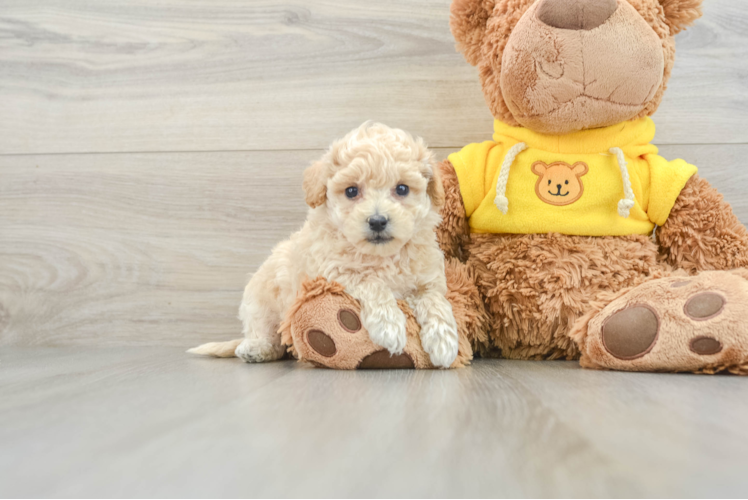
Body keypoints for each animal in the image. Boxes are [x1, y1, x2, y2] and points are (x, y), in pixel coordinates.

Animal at [190, 122, 458, 368]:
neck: (382, 256)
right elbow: (372, 282)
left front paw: (444, 342)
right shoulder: (335, 272)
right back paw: (256, 349)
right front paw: (389, 326)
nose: (377, 221)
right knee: (268, 335)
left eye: (402, 189)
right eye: (351, 191)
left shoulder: (427, 279)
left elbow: (436, 301)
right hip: (260, 301)